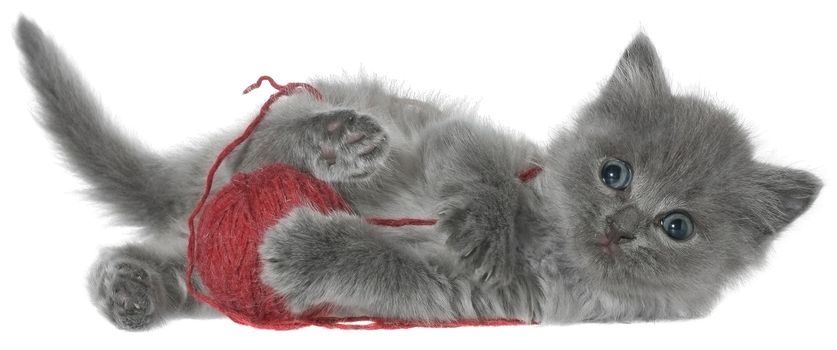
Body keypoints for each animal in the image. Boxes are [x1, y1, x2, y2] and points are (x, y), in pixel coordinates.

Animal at [16, 17, 820, 330]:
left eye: (676, 227)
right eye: (613, 174)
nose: (622, 225)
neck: (548, 239)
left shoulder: (480, 299)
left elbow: (383, 262)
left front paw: (302, 247)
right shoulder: (462, 137)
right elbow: (471, 160)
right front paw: (486, 223)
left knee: (190, 257)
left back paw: (135, 288)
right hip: (335, 121)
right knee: (257, 150)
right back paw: (338, 143)